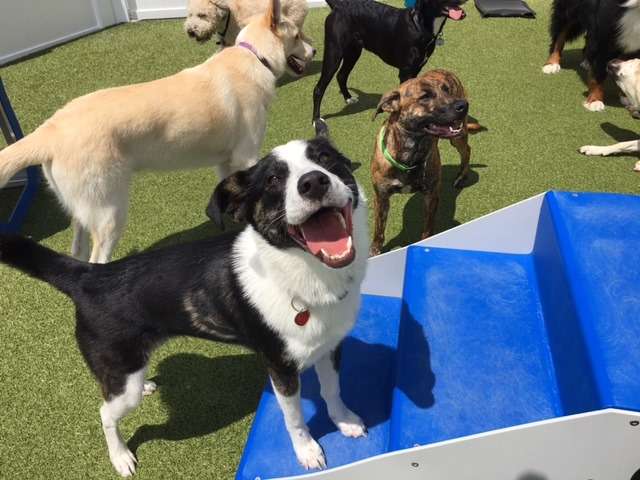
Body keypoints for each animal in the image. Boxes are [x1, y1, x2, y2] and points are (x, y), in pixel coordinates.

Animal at [0, 0, 312, 262]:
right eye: (298, 36)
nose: (315, 51)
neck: (255, 57)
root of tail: (51, 128)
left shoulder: (226, 162)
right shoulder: (246, 156)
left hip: (81, 210)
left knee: (77, 251)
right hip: (110, 213)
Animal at [314, 0, 468, 124]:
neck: (419, 25)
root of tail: (339, 6)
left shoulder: (416, 69)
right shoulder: (406, 71)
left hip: (353, 52)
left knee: (341, 75)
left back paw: (348, 98)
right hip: (334, 53)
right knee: (319, 88)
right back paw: (316, 120)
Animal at [370, 69, 476, 256]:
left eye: (446, 90)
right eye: (425, 97)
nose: (463, 105)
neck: (410, 152)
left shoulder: (431, 195)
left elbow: (428, 228)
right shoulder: (381, 197)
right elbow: (379, 230)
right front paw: (375, 251)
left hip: (458, 136)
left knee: (467, 151)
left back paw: (461, 176)